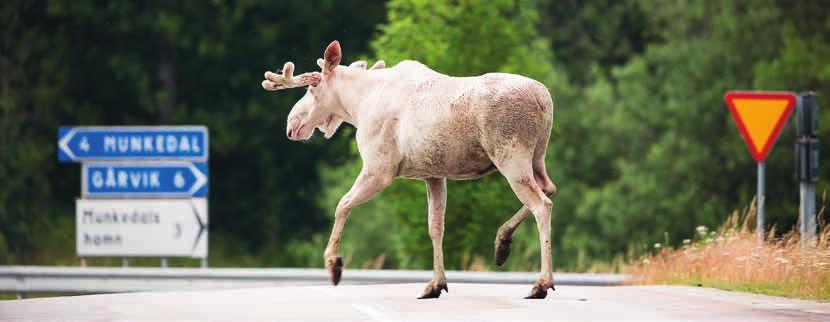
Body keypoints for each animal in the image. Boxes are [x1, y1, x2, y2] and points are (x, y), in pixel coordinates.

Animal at [262, 40, 560, 300]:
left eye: (313, 87)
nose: (291, 124)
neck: (358, 105)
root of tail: (545, 100)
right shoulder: (433, 174)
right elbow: (435, 227)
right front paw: (436, 284)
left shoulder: (379, 169)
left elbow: (342, 205)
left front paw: (334, 264)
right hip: (536, 157)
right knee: (549, 188)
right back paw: (502, 242)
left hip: (511, 156)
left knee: (542, 204)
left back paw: (541, 283)